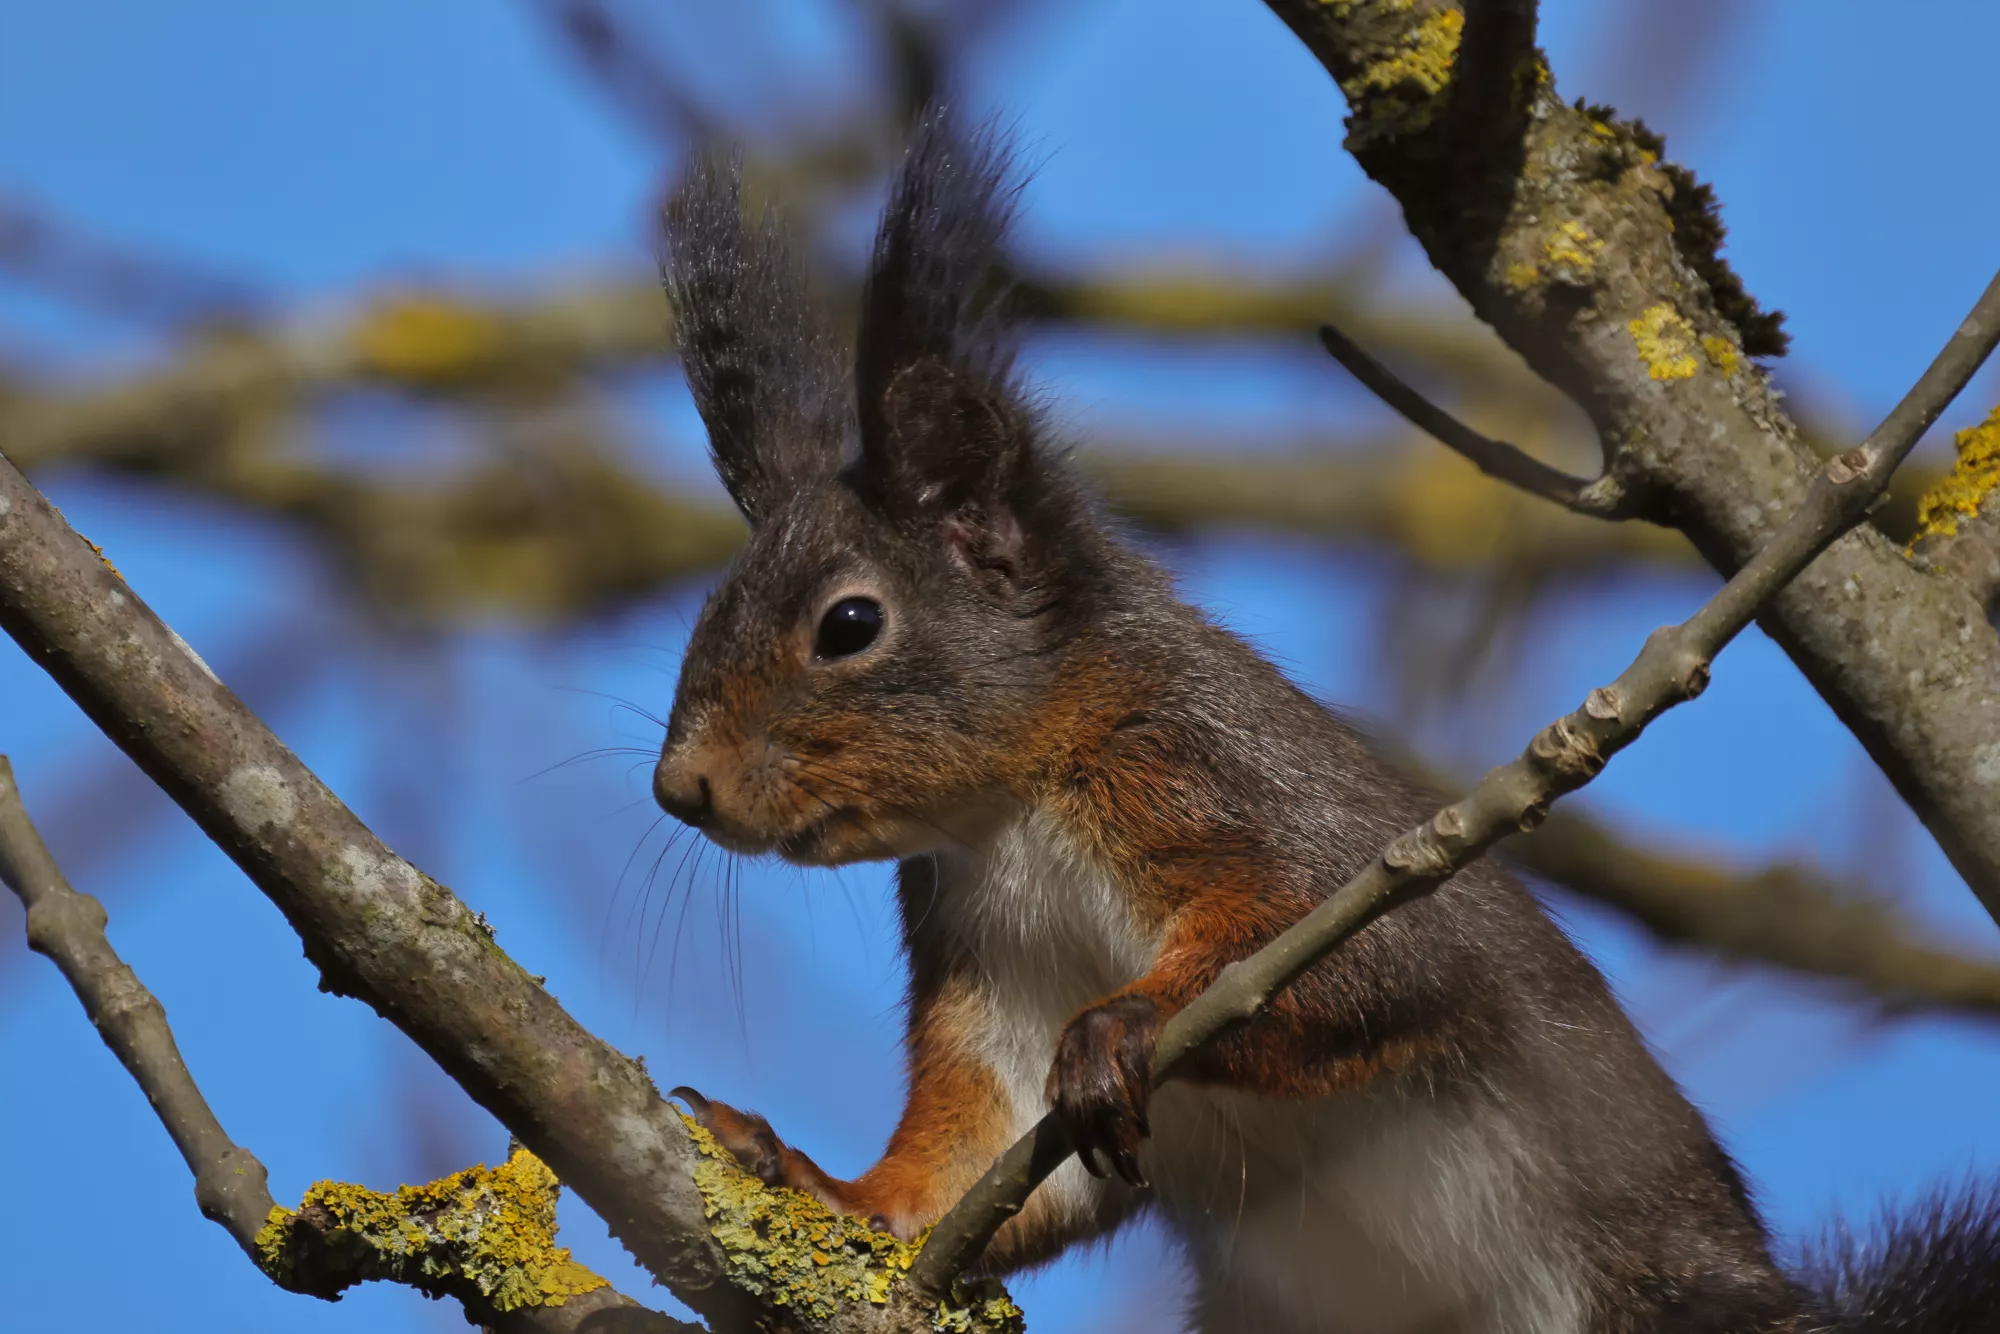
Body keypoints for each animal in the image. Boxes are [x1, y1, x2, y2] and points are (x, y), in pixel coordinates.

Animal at [649, 110, 2000, 1334]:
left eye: (847, 624)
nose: (680, 788)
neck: (1014, 811)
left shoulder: (1238, 785)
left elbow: (1372, 962)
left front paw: (1125, 1024)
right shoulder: (986, 967)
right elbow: (970, 1155)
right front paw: (814, 1181)